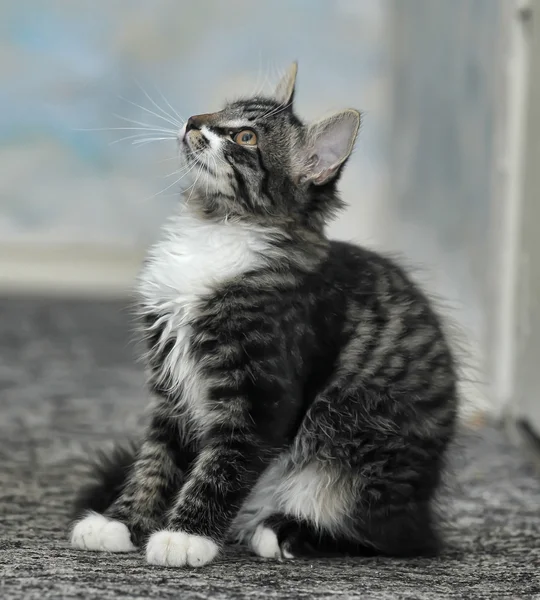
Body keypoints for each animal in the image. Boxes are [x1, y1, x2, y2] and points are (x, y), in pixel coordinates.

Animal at [70, 65, 456, 568]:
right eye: (219, 111)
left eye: (246, 137)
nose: (193, 121)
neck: (216, 228)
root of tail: (423, 506)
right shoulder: (171, 393)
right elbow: (154, 462)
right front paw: (120, 521)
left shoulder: (262, 398)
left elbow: (222, 467)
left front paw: (185, 536)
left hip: (360, 451)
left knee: (391, 538)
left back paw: (283, 531)